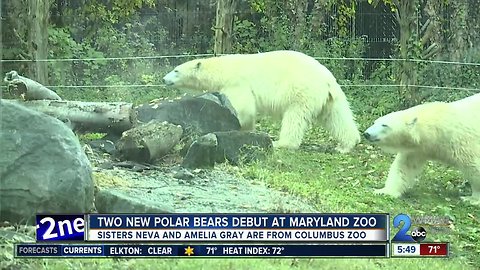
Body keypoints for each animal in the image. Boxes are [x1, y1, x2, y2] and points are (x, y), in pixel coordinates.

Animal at [161, 50, 360, 152]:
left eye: (176, 70)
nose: (164, 79)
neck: (223, 70)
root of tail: (327, 79)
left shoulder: (237, 82)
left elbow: (243, 107)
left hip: (301, 92)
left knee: (295, 117)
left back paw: (281, 143)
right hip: (330, 98)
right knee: (337, 117)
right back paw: (345, 145)